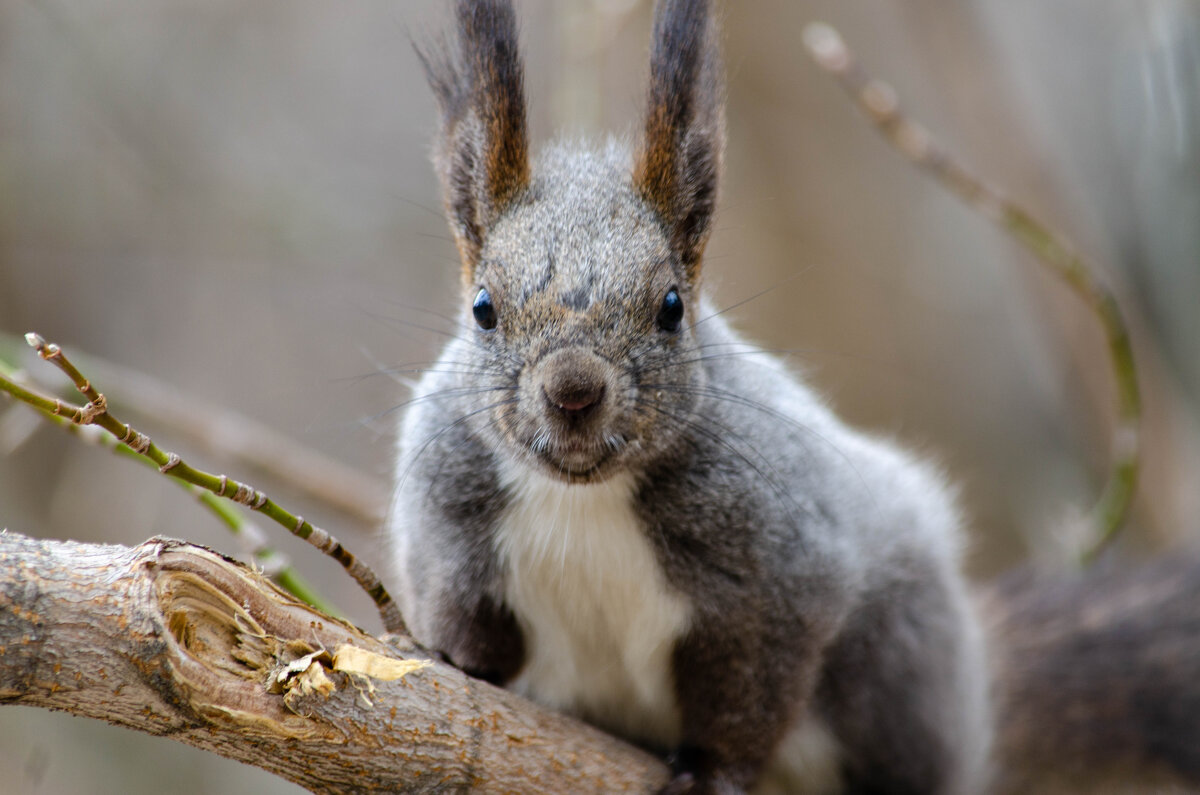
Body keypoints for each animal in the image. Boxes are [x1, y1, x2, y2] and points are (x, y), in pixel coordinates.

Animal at [386, 1, 1200, 795]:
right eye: (483, 308)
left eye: (672, 307)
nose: (574, 390)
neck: (585, 496)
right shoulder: (450, 530)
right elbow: (466, 626)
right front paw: (451, 670)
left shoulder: (781, 575)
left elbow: (750, 697)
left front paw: (714, 774)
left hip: (895, 667)